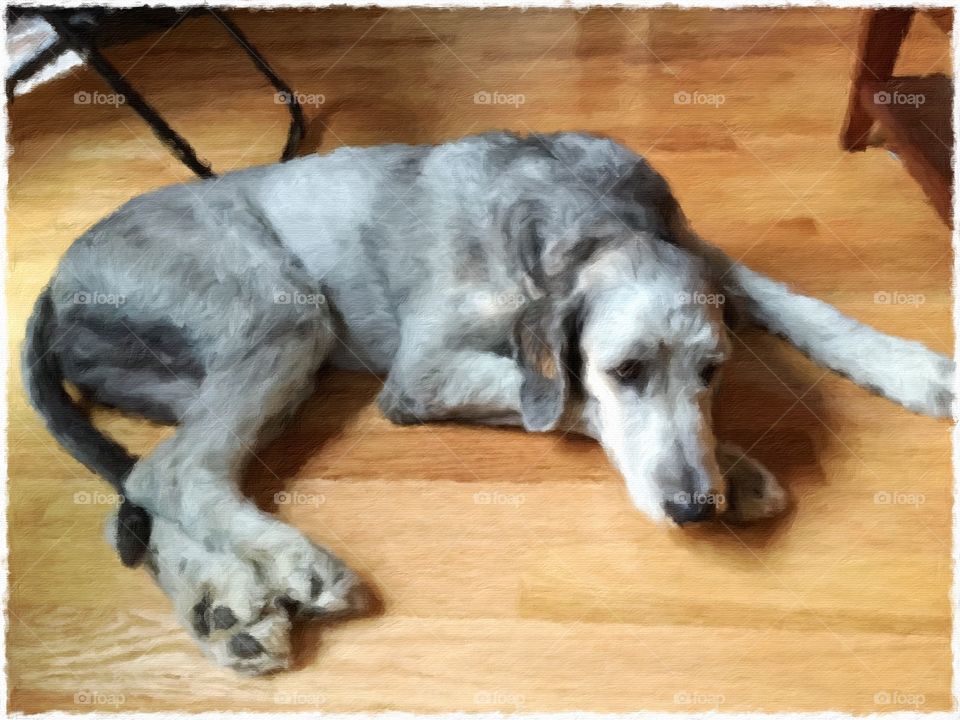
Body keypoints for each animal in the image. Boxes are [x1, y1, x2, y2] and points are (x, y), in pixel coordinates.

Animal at [22, 131, 952, 676]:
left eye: (714, 372)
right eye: (624, 370)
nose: (695, 506)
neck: (583, 219)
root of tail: (60, 280)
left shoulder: (703, 256)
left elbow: (797, 303)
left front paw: (910, 367)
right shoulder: (422, 372)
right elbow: (561, 397)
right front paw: (738, 465)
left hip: (219, 373)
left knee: (149, 481)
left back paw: (225, 607)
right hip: (281, 311)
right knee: (179, 474)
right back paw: (291, 564)